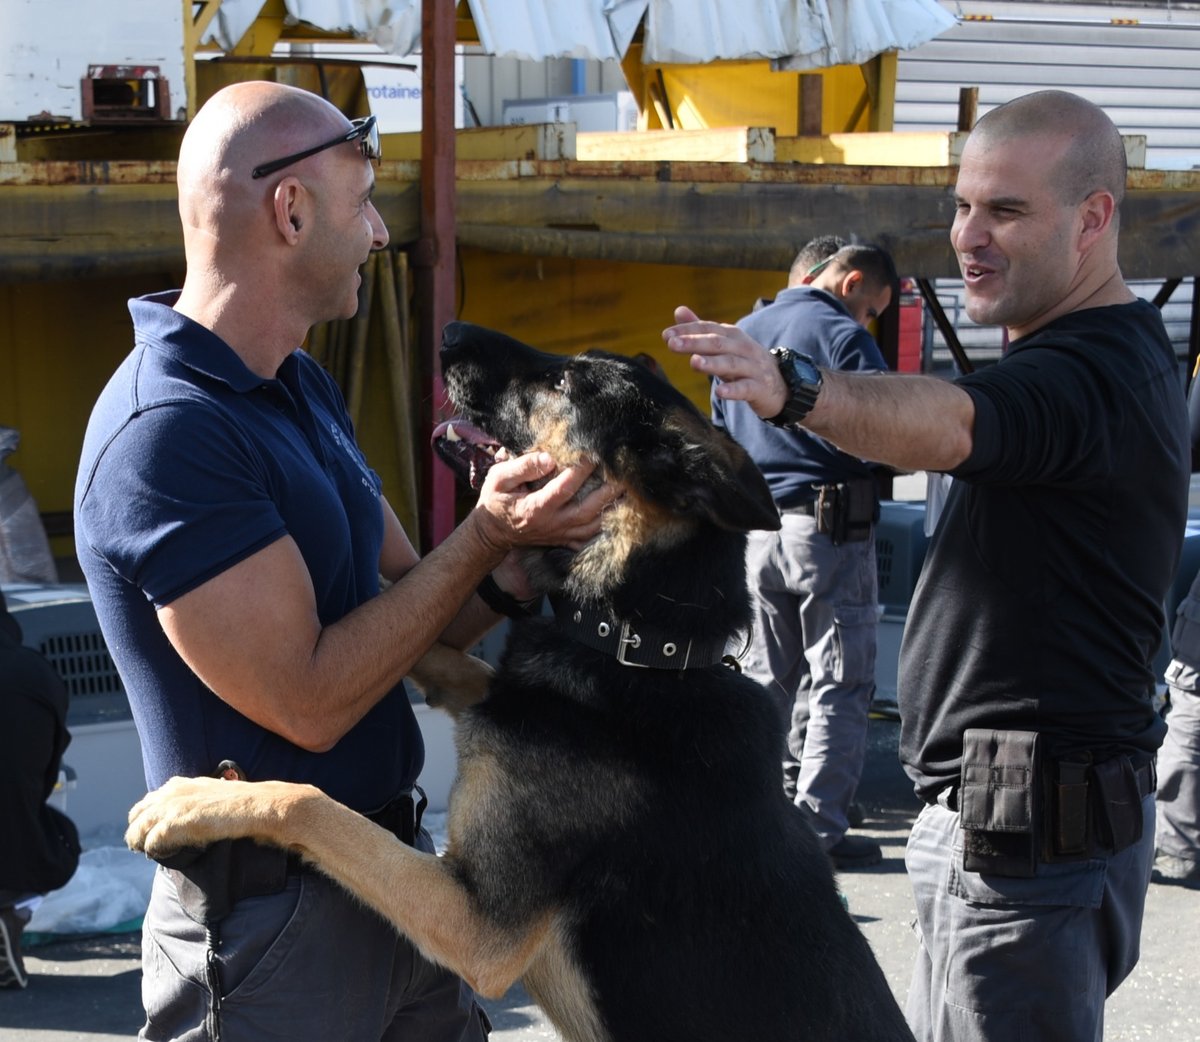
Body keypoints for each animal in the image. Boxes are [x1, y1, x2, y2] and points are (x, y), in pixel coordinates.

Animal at [124, 324, 907, 1042]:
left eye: (566, 384)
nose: (449, 332)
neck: (642, 647)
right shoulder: (497, 689)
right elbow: (444, 653)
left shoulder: (478, 923)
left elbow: (309, 803)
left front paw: (197, 800)